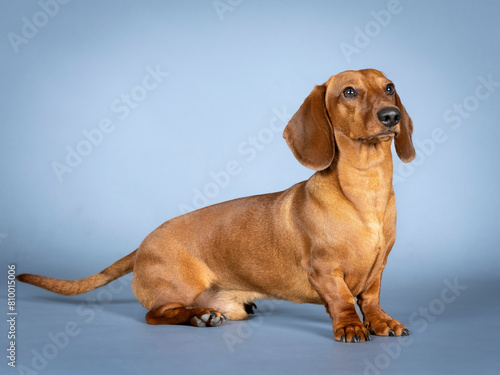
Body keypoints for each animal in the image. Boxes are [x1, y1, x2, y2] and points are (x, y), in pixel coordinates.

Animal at [19, 68, 416, 344]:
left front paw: (381, 321)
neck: (365, 191)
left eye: (389, 87)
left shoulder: (378, 269)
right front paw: (351, 325)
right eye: (349, 92)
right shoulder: (324, 272)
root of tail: (142, 245)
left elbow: (371, 298)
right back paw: (199, 317)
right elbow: (343, 300)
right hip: (176, 290)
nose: (391, 116)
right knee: (156, 315)